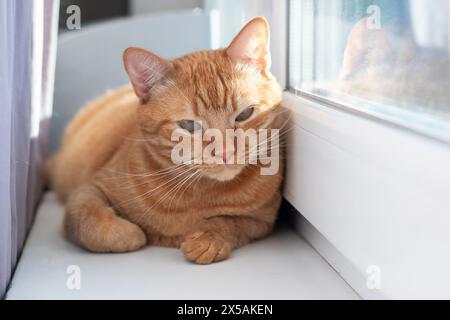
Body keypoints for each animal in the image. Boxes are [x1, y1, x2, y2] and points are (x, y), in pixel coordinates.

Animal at [48, 16, 284, 264]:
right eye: (189, 125)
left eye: (244, 114)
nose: (225, 152)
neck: (198, 192)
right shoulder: (90, 187)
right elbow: (87, 217)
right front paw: (127, 234)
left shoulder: (263, 221)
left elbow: (231, 222)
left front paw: (209, 239)